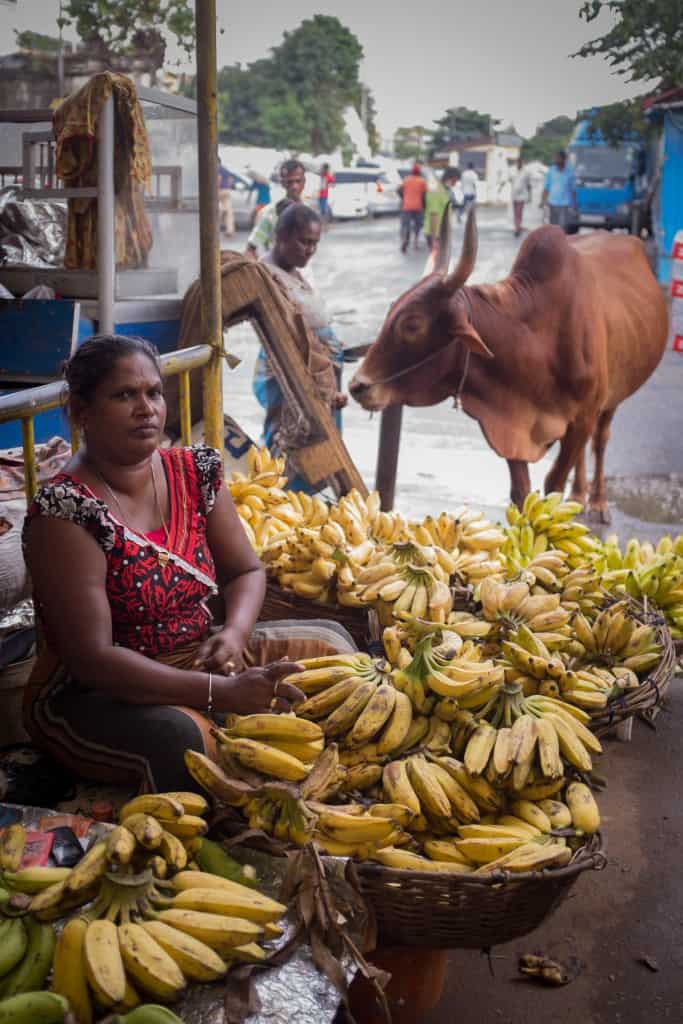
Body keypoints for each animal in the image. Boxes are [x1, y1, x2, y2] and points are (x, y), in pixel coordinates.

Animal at [350, 212, 671, 524]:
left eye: (412, 324)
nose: (357, 386)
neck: (539, 345)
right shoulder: (513, 425)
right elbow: (521, 493)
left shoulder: (581, 419)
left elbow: (554, 483)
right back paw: (578, 494)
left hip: (611, 397)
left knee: (600, 441)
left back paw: (597, 501)